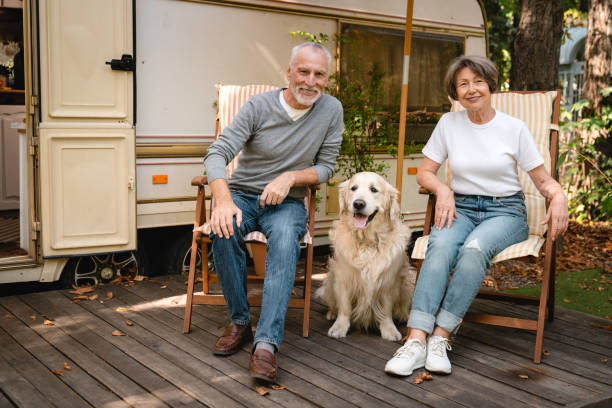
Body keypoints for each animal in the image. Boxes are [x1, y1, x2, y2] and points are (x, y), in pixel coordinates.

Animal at [316, 171, 416, 340]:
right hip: (330, 279)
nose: (358, 204)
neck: (367, 241)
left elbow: (386, 309)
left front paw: (389, 329)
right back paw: (332, 313)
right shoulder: (343, 278)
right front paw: (340, 326)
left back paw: (404, 316)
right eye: (353, 188)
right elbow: (345, 307)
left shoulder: (389, 281)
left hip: (407, 281)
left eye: (374, 189)